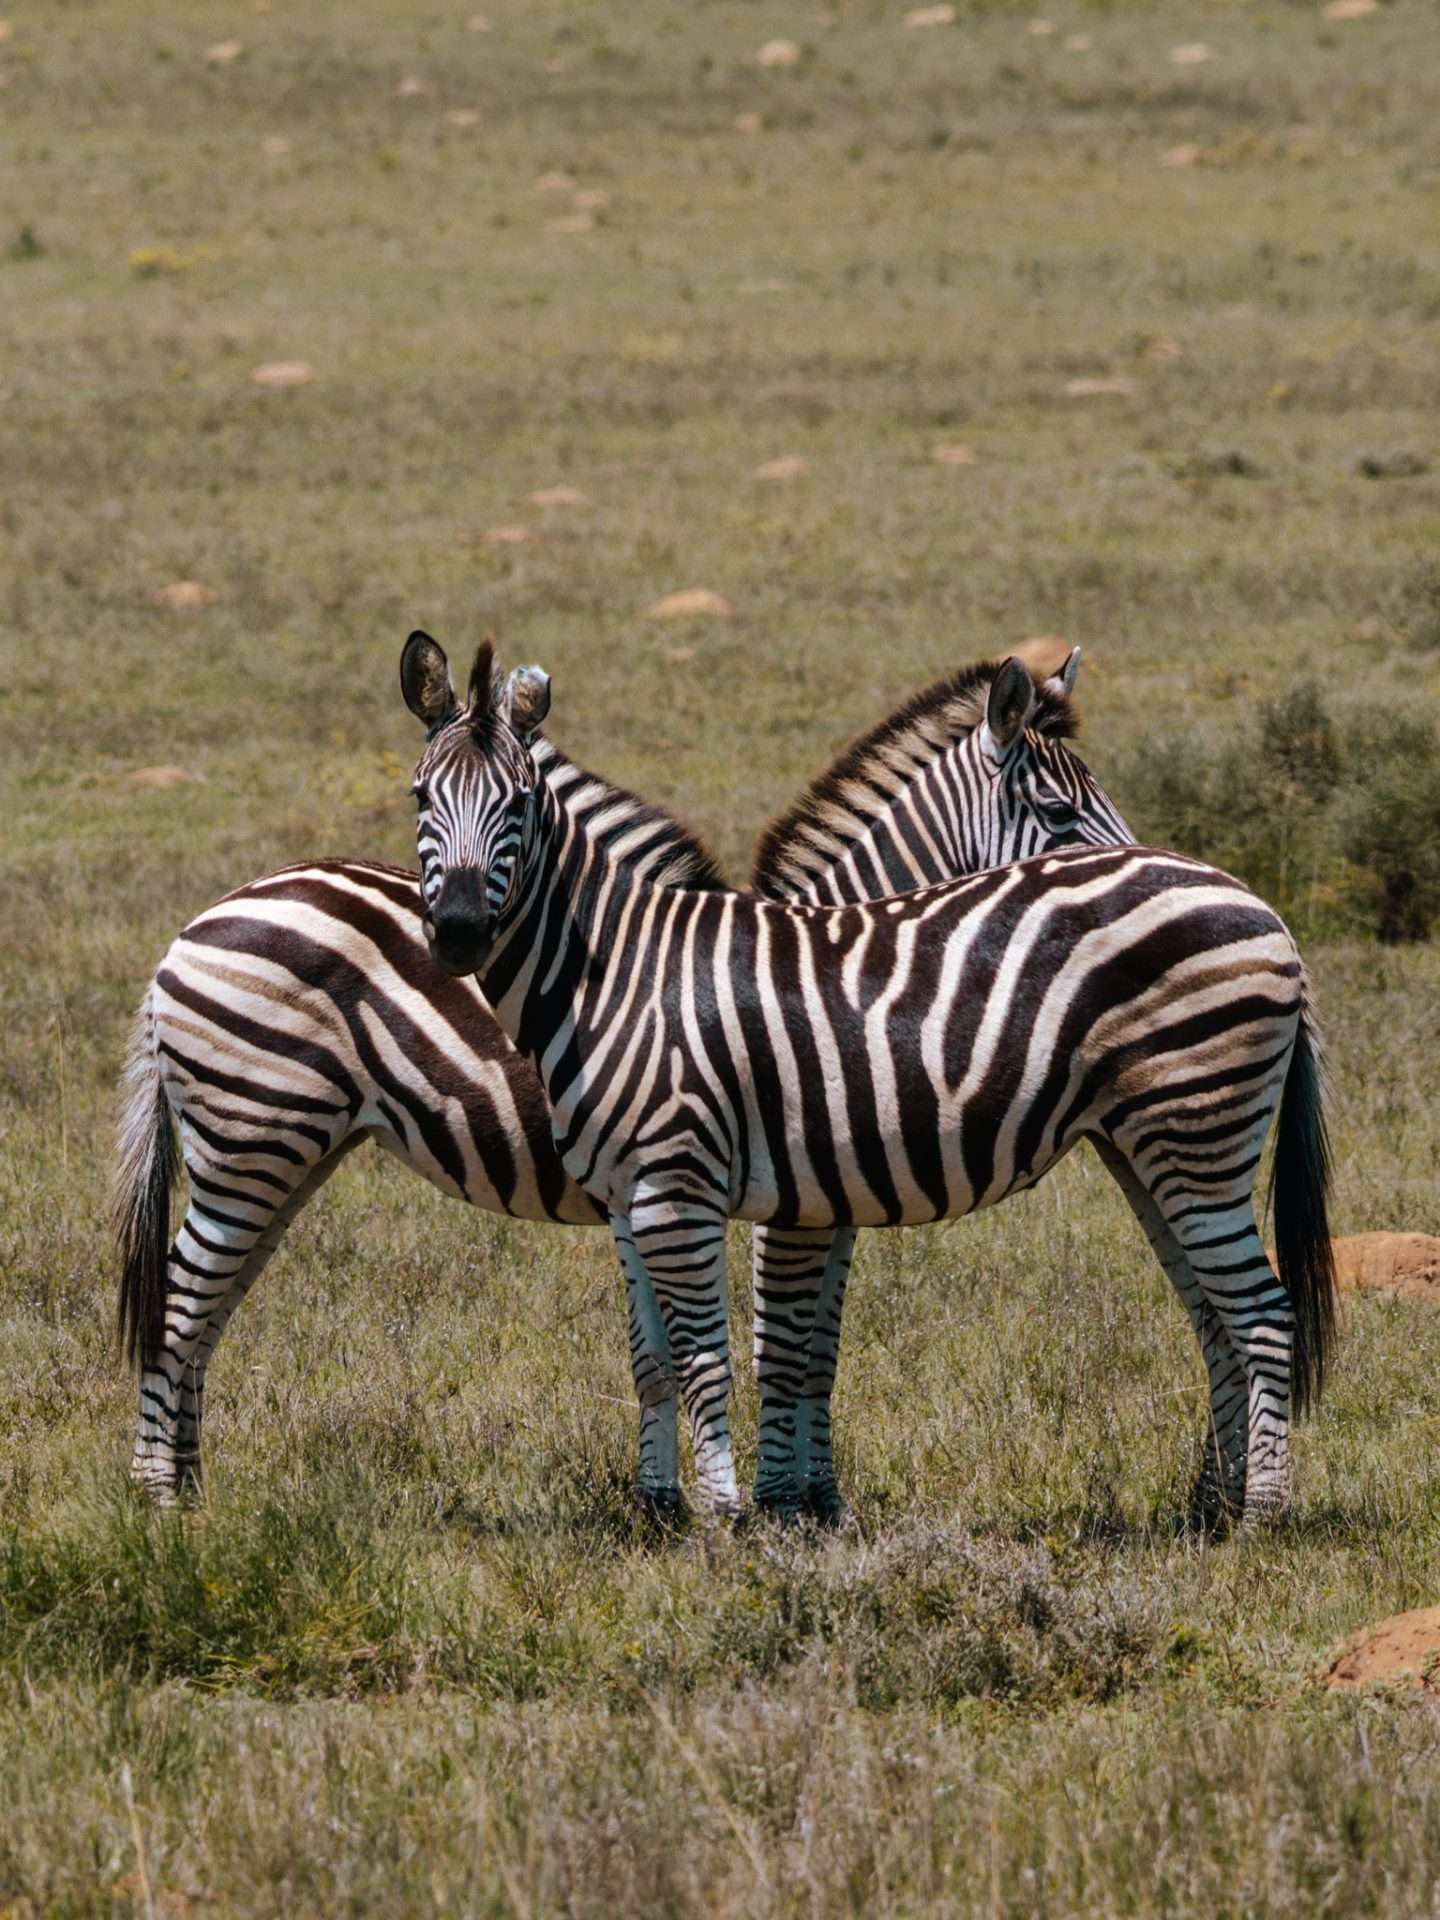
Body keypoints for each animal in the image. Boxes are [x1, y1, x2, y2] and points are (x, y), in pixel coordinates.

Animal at [116, 651, 1130, 1504]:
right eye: (1063, 816)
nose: (1141, 872)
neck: (833, 959)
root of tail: (190, 929)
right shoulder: (781, 1199)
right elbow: (778, 1345)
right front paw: (784, 1504)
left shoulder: (813, 1194)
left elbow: (806, 1350)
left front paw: (777, 1501)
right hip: (255, 1136)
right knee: (179, 1307)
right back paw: (159, 1502)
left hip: (285, 1149)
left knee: (208, 1307)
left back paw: (193, 1490)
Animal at [400, 629, 1337, 1531]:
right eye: (418, 798)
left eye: (519, 803)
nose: (457, 932)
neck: (613, 966)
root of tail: (1262, 907)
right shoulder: (651, 1200)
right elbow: (674, 1357)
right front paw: (688, 1511)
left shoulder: (690, 1188)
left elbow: (735, 1354)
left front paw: (742, 1516)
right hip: (1152, 1149)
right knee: (1212, 1313)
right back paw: (1211, 1507)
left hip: (1197, 1131)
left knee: (1262, 1314)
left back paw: (1260, 1517)